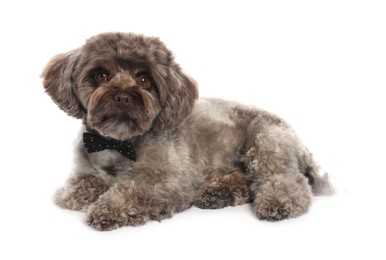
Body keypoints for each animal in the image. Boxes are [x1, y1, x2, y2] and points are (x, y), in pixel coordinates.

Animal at [41, 33, 332, 232]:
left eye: (145, 80)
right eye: (101, 75)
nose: (123, 97)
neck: (118, 143)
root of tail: (301, 143)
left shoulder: (171, 182)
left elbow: (133, 189)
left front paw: (109, 208)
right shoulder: (81, 176)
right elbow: (76, 190)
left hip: (266, 145)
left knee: (286, 181)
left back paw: (276, 203)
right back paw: (219, 194)